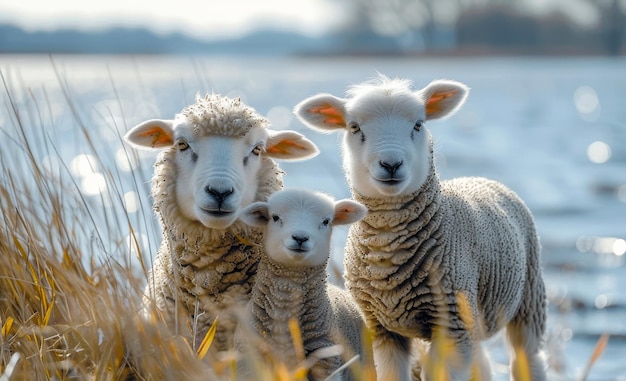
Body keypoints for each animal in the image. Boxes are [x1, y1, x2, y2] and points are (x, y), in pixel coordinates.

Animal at [290, 76, 544, 380]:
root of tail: (481, 179)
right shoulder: (380, 327)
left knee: (527, 357)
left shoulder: (451, 325)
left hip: (528, 298)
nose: (391, 164)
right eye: (354, 127)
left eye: (418, 124)